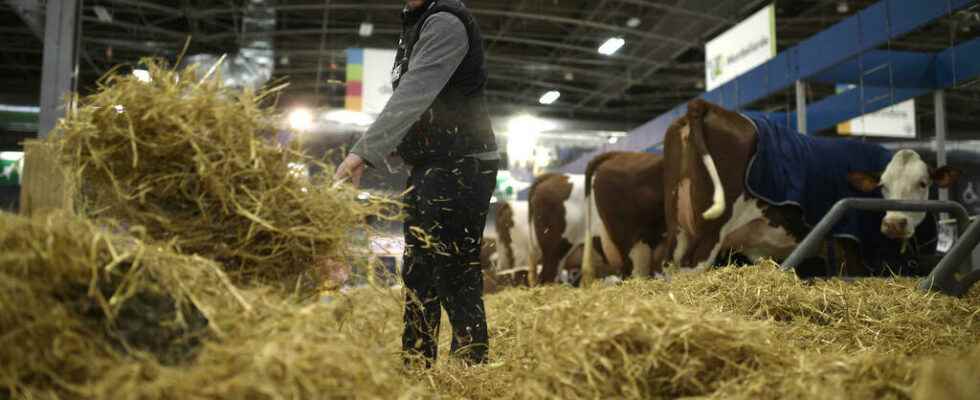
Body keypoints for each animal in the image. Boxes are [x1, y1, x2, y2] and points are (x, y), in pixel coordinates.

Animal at [664, 98, 960, 276]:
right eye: (882, 186)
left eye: (922, 183)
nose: (894, 223)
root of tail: (706, 105)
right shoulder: (851, 250)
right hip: (707, 238)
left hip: (677, 232)